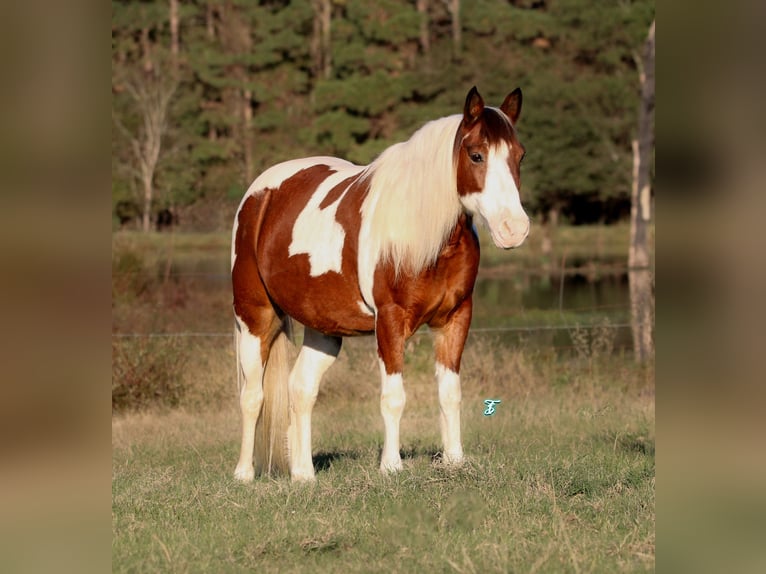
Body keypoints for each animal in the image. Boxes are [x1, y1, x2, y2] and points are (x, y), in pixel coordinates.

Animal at [230, 86, 528, 482]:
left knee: (301, 389)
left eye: (519, 155)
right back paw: (244, 474)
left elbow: (450, 393)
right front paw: (391, 466)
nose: (515, 229)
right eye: (476, 154)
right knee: (252, 396)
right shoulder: (389, 320)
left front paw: (454, 461)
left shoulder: (455, 318)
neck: (424, 235)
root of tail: (259, 195)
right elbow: (393, 397)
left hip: (323, 331)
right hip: (254, 318)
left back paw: (304, 475)